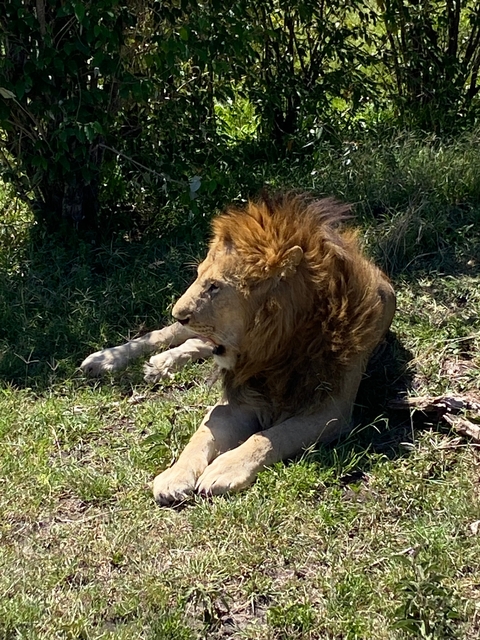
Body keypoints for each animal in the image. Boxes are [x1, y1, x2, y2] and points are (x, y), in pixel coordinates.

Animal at [82, 193, 395, 504]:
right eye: (199, 277)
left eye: (214, 286)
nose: (178, 313)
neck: (272, 350)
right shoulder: (236, 403)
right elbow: (200, 437)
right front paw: (174, 476)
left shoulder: (330, 411)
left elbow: (270, 437)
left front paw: (224, 470)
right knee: (164, 334)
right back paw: (105, 360)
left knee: (194, 344)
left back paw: (161, 364)